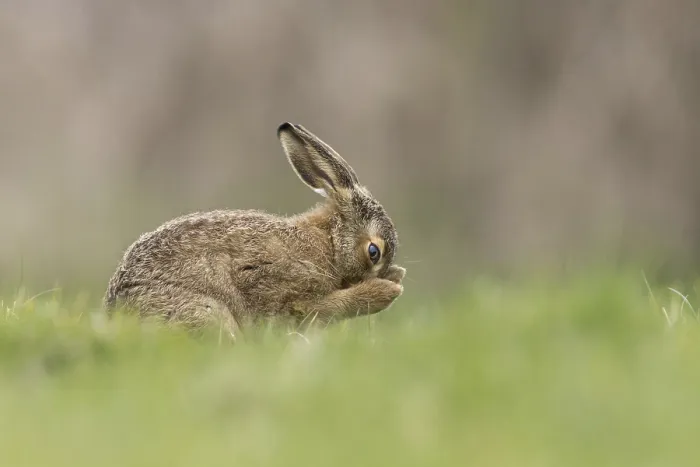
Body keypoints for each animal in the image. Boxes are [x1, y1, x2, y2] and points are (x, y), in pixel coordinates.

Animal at [103, 122, 406, 338]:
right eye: (374, 252)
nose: (388, 277)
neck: (329, 243)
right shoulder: (285, 292)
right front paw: (386, 291)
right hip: (205, 312)